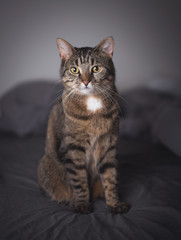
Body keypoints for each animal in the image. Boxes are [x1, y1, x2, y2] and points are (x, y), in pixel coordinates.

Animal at [37, 36, 129, 214]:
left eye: (96, 68)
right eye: (74, 70)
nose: (86, 81)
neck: (92, 103)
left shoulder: (108, 145)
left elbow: (110, 178)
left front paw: (114, 203)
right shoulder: (72, 147)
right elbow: (78, 180)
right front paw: (81, 203)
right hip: (46, 164)